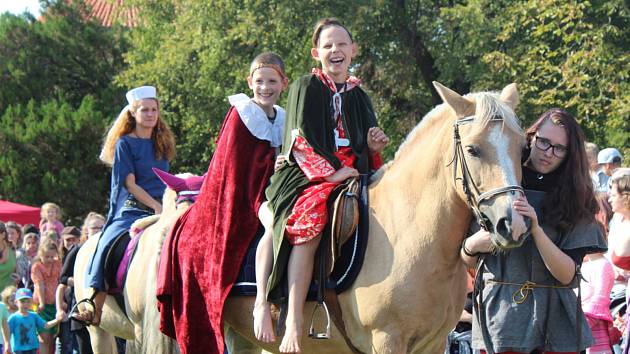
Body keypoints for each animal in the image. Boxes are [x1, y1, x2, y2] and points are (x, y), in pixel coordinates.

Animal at [225, 81, 532, 352]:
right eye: (472, 149)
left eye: (522, 149)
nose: (513, 224)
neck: (409, 230)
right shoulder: (386, 339)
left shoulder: (433, 343)